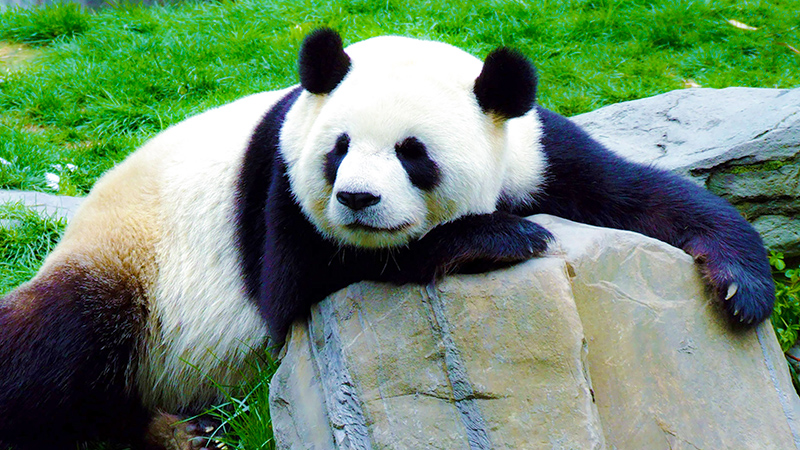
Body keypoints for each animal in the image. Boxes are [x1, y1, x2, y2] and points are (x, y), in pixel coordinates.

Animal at [0, 28, 775, 449]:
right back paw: (163, 429)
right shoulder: (281, 185)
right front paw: (499, 235)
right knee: (56, 342)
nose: (357, 200)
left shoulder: (533, 148)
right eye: (338, 150)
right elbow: (298, 285)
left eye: (413, 153)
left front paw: (740, 283)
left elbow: (634, 192)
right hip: (135, 263)